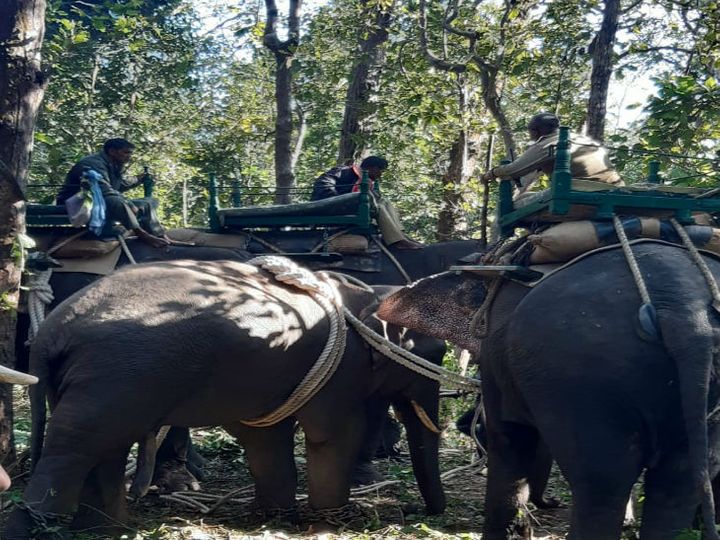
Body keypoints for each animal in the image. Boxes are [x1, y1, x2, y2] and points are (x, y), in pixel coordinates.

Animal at [4, 258, 444, 536]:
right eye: (436, 353)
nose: (426, 513)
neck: (366, 293)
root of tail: (50, 332)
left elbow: (265, 438)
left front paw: (275, 517)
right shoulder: (339, 371)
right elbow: (333, 434)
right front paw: (329, 524)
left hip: (101, 382)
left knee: (104, 448)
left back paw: (104, 530)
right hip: (112, 379)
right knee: (73, 448)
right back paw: (35, 527)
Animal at [376, 242, 720, 540]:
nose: (551, 502)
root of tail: (684, 309)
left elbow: (508, 438)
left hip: (583, 379)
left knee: (603, 483)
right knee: (674, 482)